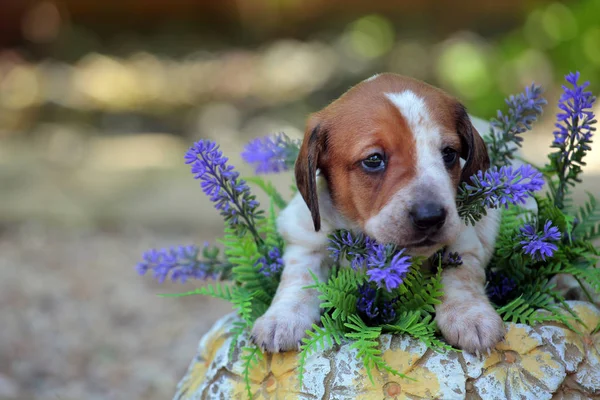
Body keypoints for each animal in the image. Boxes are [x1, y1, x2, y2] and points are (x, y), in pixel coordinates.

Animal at [252, 73, 506, 354]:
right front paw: (283, 317)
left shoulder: (465, 240)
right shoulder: (305, 237)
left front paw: (470, 316)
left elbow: (460, 276)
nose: (430, 217)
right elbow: (299, 278)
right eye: (374, 160)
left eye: (449, 153)